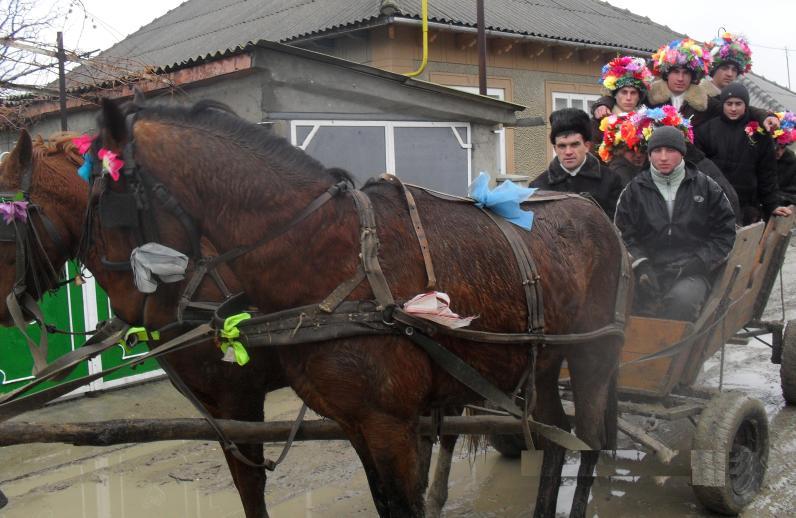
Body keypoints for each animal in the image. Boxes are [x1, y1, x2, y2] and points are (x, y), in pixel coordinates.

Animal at [91, 98, 628, 518]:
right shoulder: (355, 423)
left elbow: (405, 505)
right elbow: (384, 503)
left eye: (111, 206)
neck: (333, 255)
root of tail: (592, 209)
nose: (132, 317)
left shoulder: (388, 423)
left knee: (590, 442)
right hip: (541, 361)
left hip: (592, 354)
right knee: (557, 436)